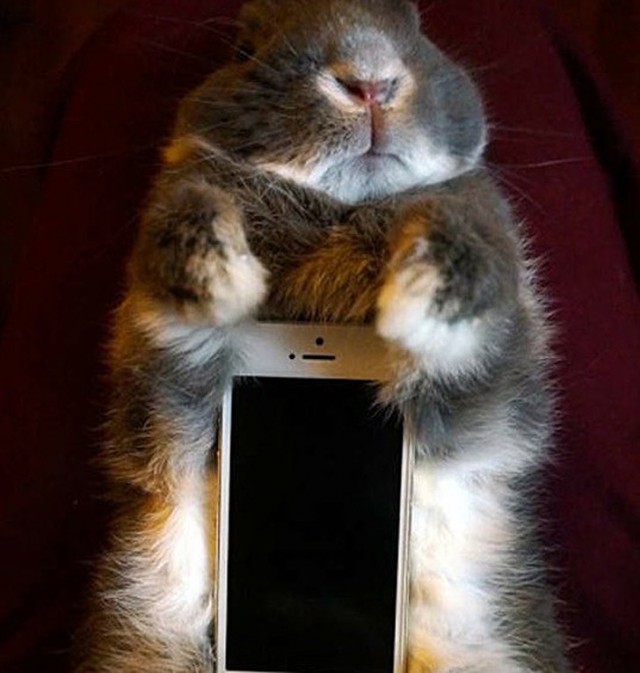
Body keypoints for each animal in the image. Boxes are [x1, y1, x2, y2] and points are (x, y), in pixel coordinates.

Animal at [74, 0, 569, 671]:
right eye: (244, 49)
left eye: (419, 32)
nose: (370, 80)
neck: (337, 209)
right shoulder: (165, 376)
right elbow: (187, 212)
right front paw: (223, 282)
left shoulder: (490, 367)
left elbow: (464, 234)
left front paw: (415, 305)